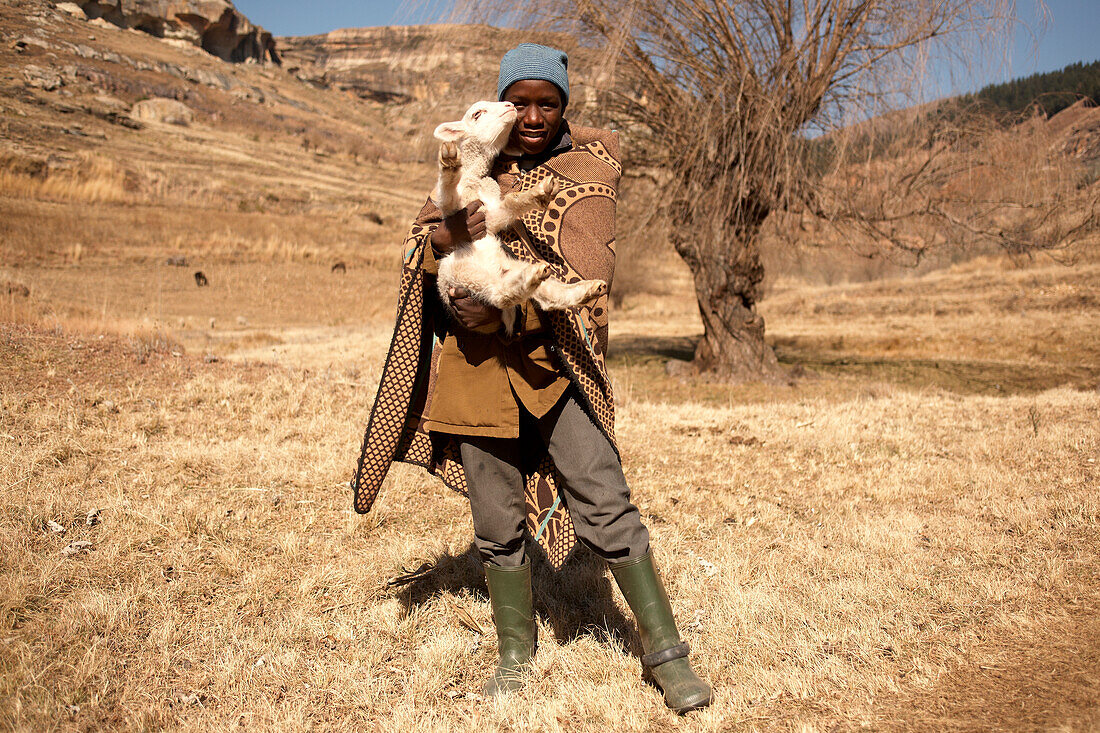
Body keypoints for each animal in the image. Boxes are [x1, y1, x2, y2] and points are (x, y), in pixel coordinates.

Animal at [429, 98, 607, 332]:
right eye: (477, 114)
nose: (509, 105)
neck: (474, 181)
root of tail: (497, 270)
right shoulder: (452, 207)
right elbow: (447, 188)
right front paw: (449, 161)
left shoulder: (490, 216)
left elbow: (511, 203)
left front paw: (541, 192)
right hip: (465, 274)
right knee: (500, 295)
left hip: (511, 266)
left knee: (549, 296)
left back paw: (586, 288)